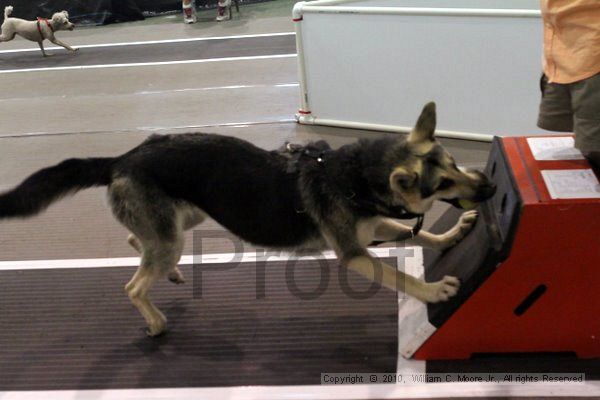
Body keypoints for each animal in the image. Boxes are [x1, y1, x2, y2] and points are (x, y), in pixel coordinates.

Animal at [0, 102, 494, 334]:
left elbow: (421, 234)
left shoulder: (374, 227)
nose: (488, 187)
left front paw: (451, 234)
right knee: (133, 285)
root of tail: (123, 158)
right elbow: (403, 277)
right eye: (443, 184)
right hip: (172, 236)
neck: (359, 176)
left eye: (455, 165)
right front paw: (433, 289)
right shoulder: (355, 253)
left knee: (136, 242)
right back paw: (155, 322)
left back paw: (169, 274)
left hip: (183, 223)